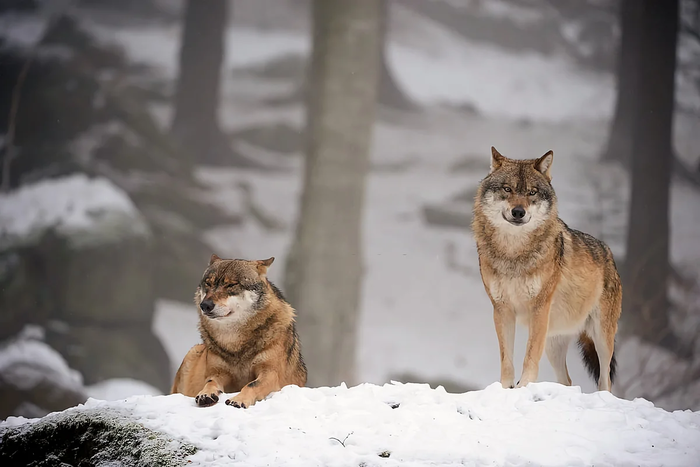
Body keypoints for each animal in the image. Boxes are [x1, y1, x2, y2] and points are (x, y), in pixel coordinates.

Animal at [171, 256, 304, 410]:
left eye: (231, 285)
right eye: (208, 284)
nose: (205, 305)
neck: (233, 341)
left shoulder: (271, 373)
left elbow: (251, 385)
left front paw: (238, 400)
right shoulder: (218, 372)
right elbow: (210, 382)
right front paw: (205, 394)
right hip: (193, 352)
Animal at [474, 149, 620, 392]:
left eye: (532, 192)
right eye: (507, 189)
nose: (518, 212)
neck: (514, 254)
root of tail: (608, 252)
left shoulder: (539, 308)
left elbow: (530, 355)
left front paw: (523, 387)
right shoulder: (502, 309)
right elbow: (506, 359)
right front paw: (506, 389)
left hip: (601, 337)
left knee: (605, 379)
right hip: (553, 342)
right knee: (568, 381)